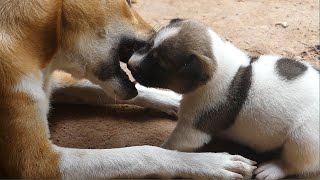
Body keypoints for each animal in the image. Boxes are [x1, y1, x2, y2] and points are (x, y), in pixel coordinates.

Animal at [0, 0, 255, 179]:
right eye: (130, 3)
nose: (155, 38)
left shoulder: (53, 86)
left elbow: (122, 90)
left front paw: (180, 101)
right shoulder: (40, 164)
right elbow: (145, 152)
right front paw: (211, 163)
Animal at [128, 19, 320, 179]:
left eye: (159, 65)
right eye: (149, 44)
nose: (129, 64)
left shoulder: (191, 129)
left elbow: (170, 147)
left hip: (302, 139)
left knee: (296, 164)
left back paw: (273, 169)